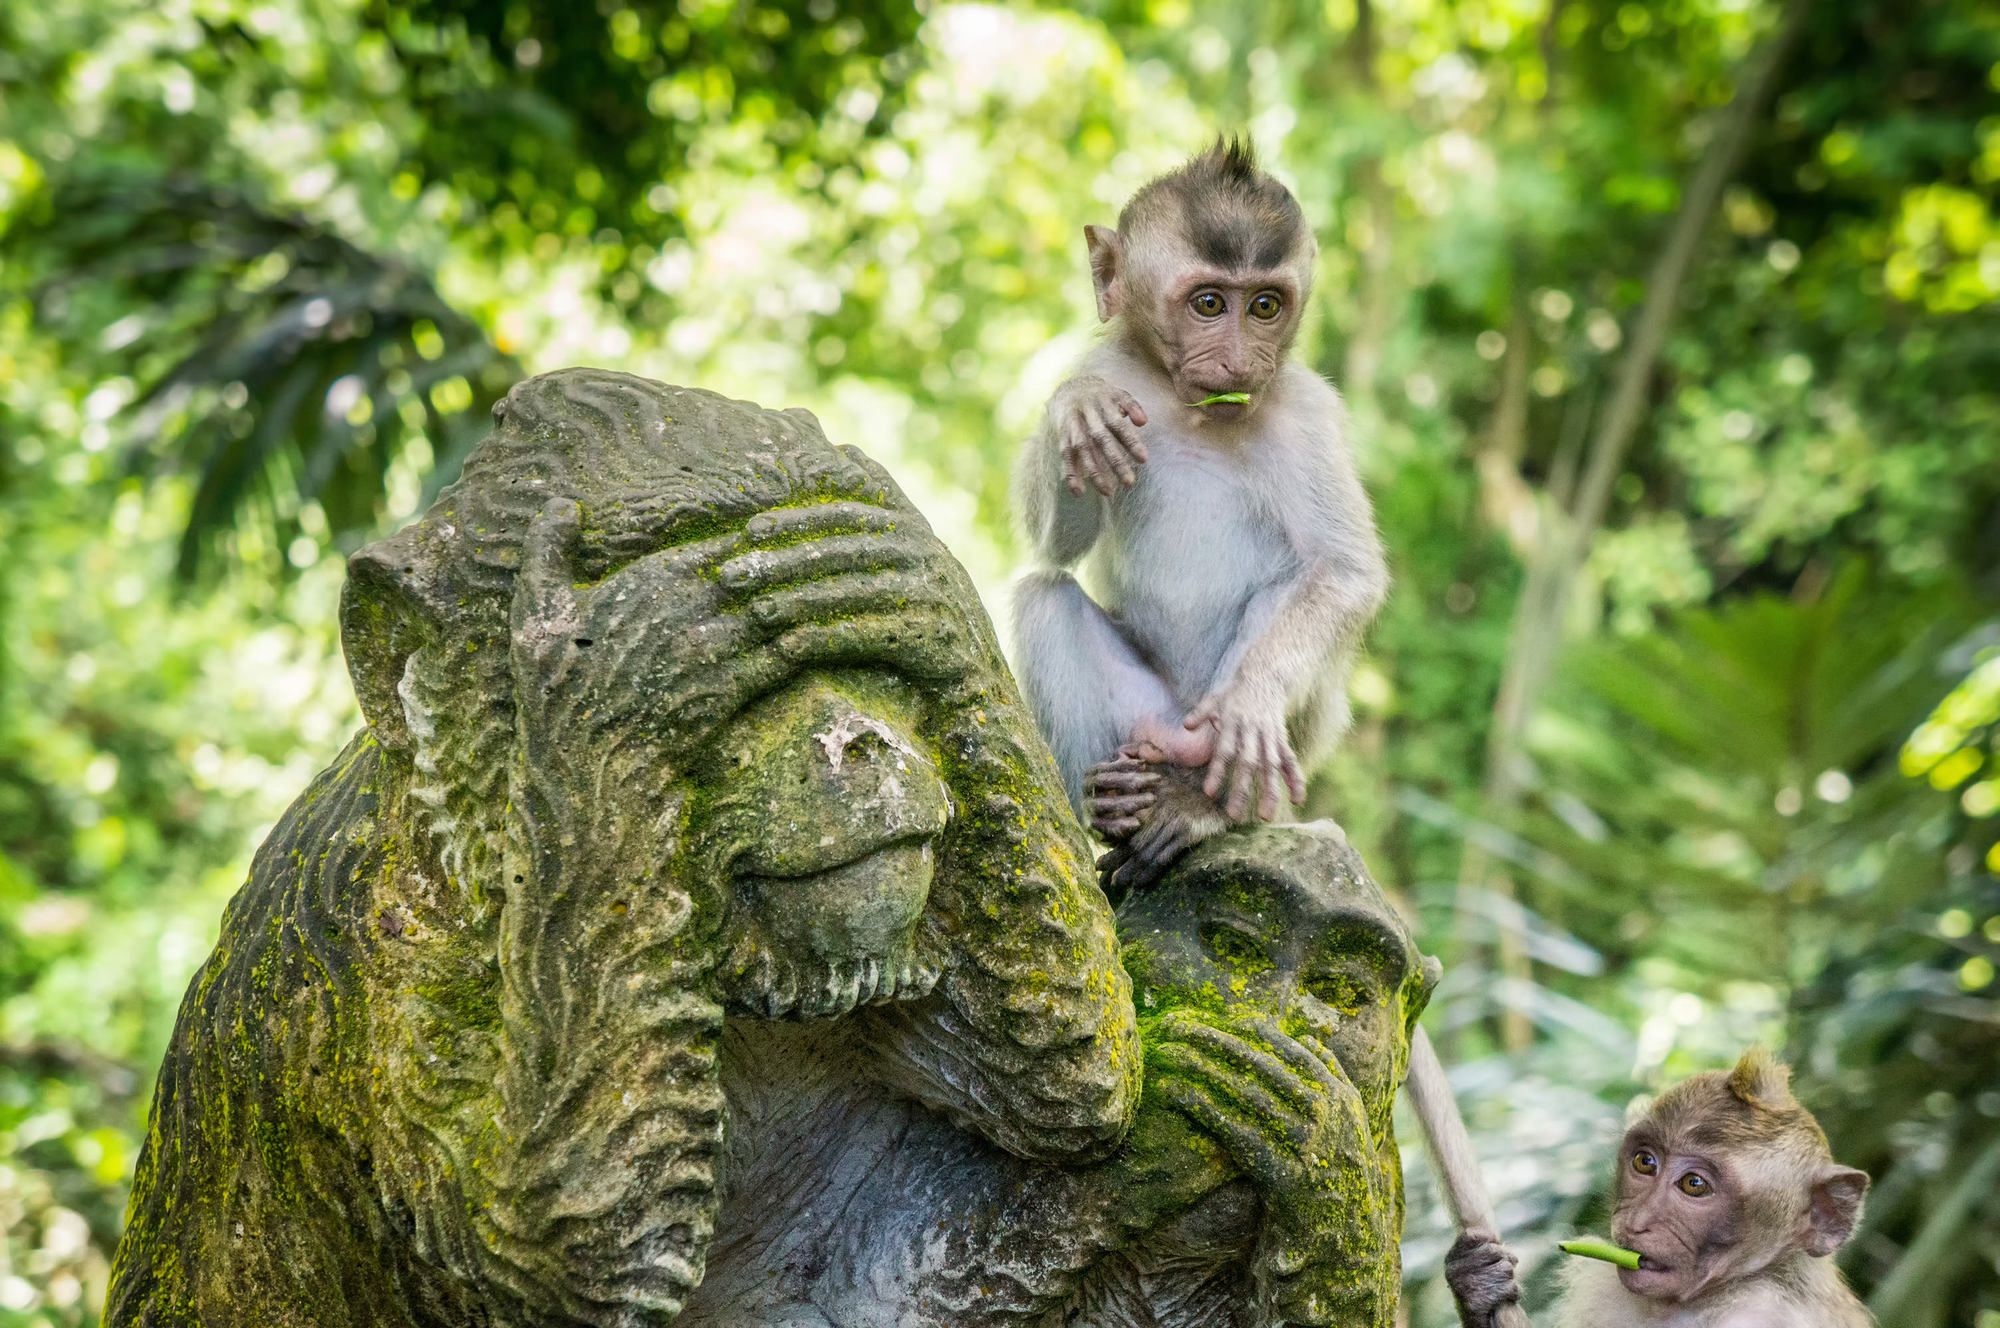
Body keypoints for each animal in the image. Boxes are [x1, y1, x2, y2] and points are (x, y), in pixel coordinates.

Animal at [1010, 136, 1389, 891]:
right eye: (1210, 303)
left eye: (1266, 306)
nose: (1242, 360)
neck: (1191, 408)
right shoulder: (1112, 366)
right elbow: (1055, 546)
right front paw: (1074, 409)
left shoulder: (1307, 412)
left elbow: (1345, 570)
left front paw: (1253, 702)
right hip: (1142, 715)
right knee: (1041, 595)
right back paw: (1111, 805)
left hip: (1262, 744)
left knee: (1291, 593)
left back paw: (1206, 807)